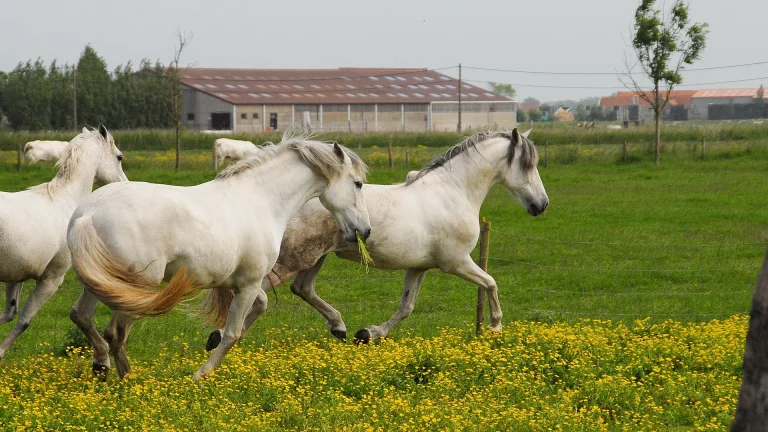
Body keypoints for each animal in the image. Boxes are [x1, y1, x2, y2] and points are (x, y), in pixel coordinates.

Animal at [0, 126, 127, 358]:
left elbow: (9, 314)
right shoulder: (51, 279)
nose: (124, 185)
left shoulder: (15, 278)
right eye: (119, 157)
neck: (64, 199)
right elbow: (23, 321)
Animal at [67, 134, 371, 380]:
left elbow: (257, 309)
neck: (260, 199)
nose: (366, 230)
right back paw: (128, 381)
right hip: (137, 287)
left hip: (99, 283)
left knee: (81, 315)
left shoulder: (242, 283)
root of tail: (87, 216)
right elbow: (233, 334)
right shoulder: (249, 283)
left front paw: (212, 341)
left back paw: (102, 367)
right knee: (115, 332)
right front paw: (201, 375)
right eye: (358, 184)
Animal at [205, 128, 548, 349]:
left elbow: (406, 306)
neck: (453, 192)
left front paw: (368, 333)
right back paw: (220, 335)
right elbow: (491, 283)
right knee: (259, 292)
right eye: (528, 165)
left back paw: (339, 327)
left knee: (301, 289)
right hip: (293, 259)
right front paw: (495, 327)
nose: (542, 205)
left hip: (315, 258)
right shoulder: (456, 263)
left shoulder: (419, 267)